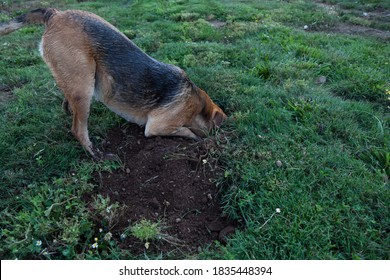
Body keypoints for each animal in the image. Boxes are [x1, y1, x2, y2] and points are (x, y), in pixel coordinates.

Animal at [0, 8, 225, 160]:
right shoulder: (158, 126)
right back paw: (96, 155)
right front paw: (197, 139)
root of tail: (54, 14)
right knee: (78, 130)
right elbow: (186, 131)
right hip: (84, 88)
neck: (196, 100)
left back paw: (67, 108)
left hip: (78, 78)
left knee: (68, 100)